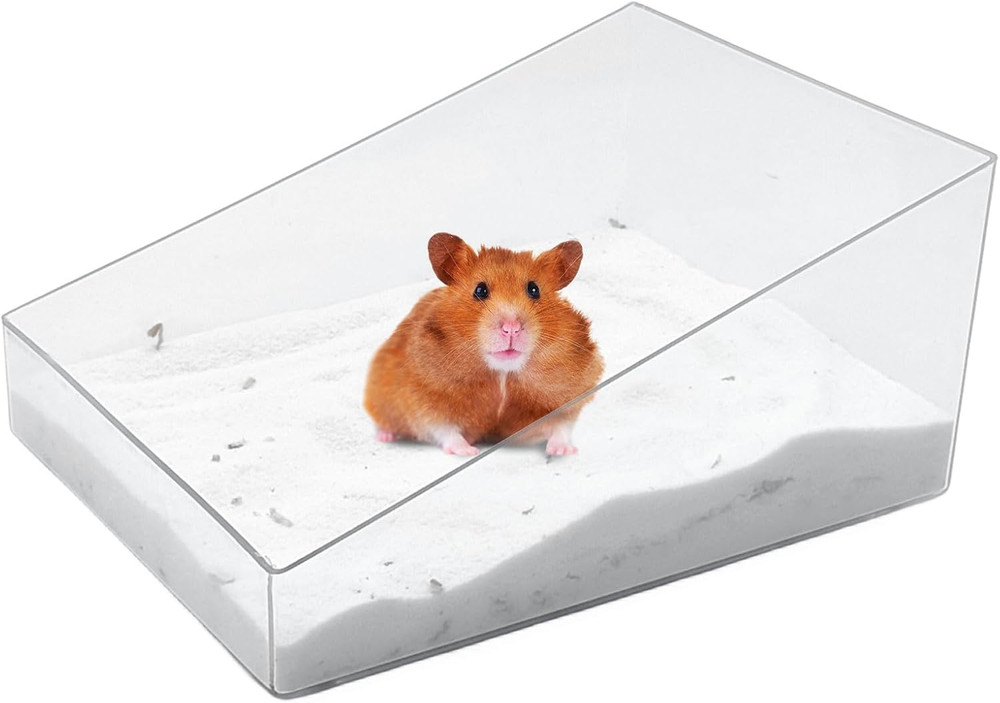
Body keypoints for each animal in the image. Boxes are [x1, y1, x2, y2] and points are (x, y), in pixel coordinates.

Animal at [363, 232, 604, 457]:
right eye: (480, 290)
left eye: (534, 289)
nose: (511, 328)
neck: (503, 372)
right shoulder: (421, 396)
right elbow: (444, 428)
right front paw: (469, 451)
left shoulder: (570, 392)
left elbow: (562, 425)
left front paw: (563, 451)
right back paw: (385, 437)